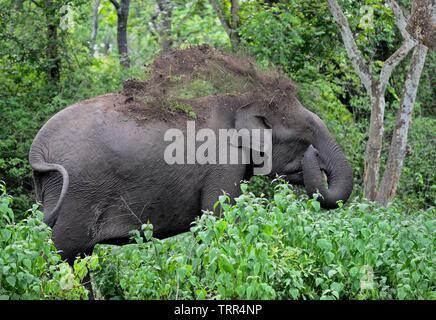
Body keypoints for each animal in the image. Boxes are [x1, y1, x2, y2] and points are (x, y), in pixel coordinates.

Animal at [29, 47, 352, 262]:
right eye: (305, 137)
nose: (314, 157)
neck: (239, 101)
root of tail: (38, 147)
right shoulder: (223, 162)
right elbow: (218, 223)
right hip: (80, 194)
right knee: (59, 252)